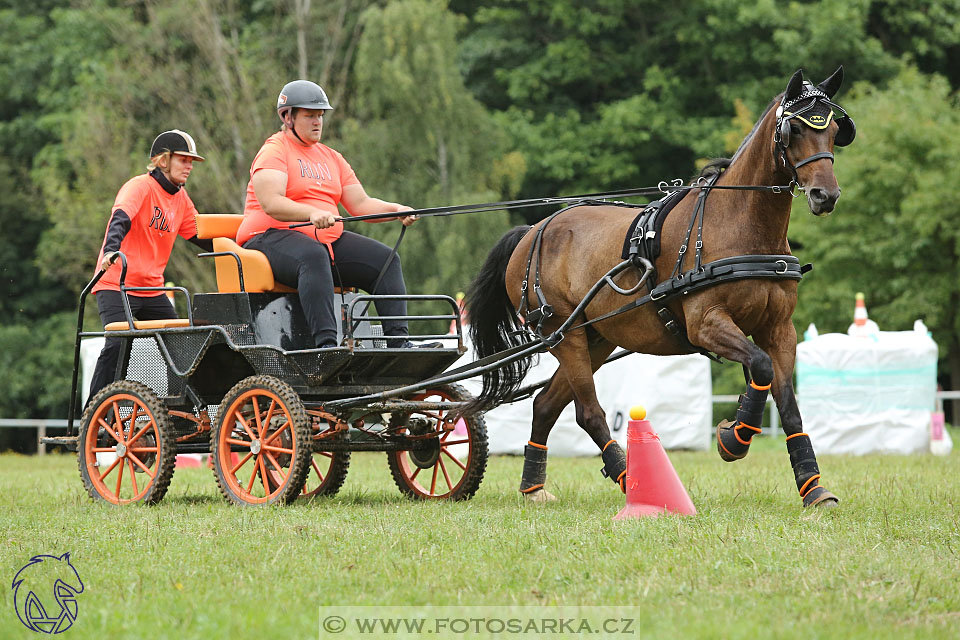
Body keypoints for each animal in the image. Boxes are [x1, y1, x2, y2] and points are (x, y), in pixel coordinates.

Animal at [466, 67, 856, 508]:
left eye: (835, 131)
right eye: (795, 129)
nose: (826, 195)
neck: (742, 226)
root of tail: (533, 230)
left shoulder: (779, 329)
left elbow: (788, 404)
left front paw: (813, 488)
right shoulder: (706, 324)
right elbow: (759, 366)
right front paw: (734, 438)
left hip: (593, 338)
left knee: (545, 405)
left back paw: (533, 488)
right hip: (562, 334)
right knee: (588, 412)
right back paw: (629, 479)